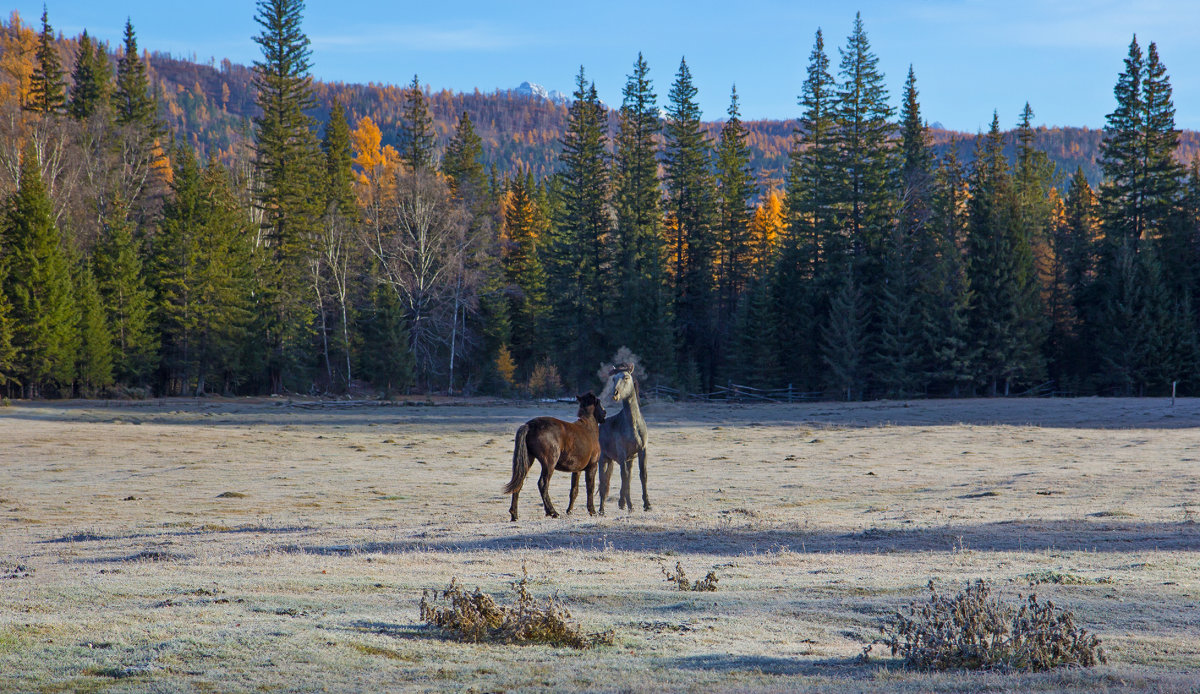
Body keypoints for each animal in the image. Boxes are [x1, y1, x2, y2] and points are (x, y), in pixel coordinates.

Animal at [501, 391, 604, 521]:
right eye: (599, 402)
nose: (604, 414)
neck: (588, 428)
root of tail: (529, 425)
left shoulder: (577, 470)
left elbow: (574, 490)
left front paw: (569, 511)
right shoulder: (592, 466)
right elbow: (590, 488)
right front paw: (592, 511)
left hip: (528, 460)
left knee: (519, 483)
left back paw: (514, 514)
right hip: (549, 464)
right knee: (543, 484)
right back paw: (552, 512)